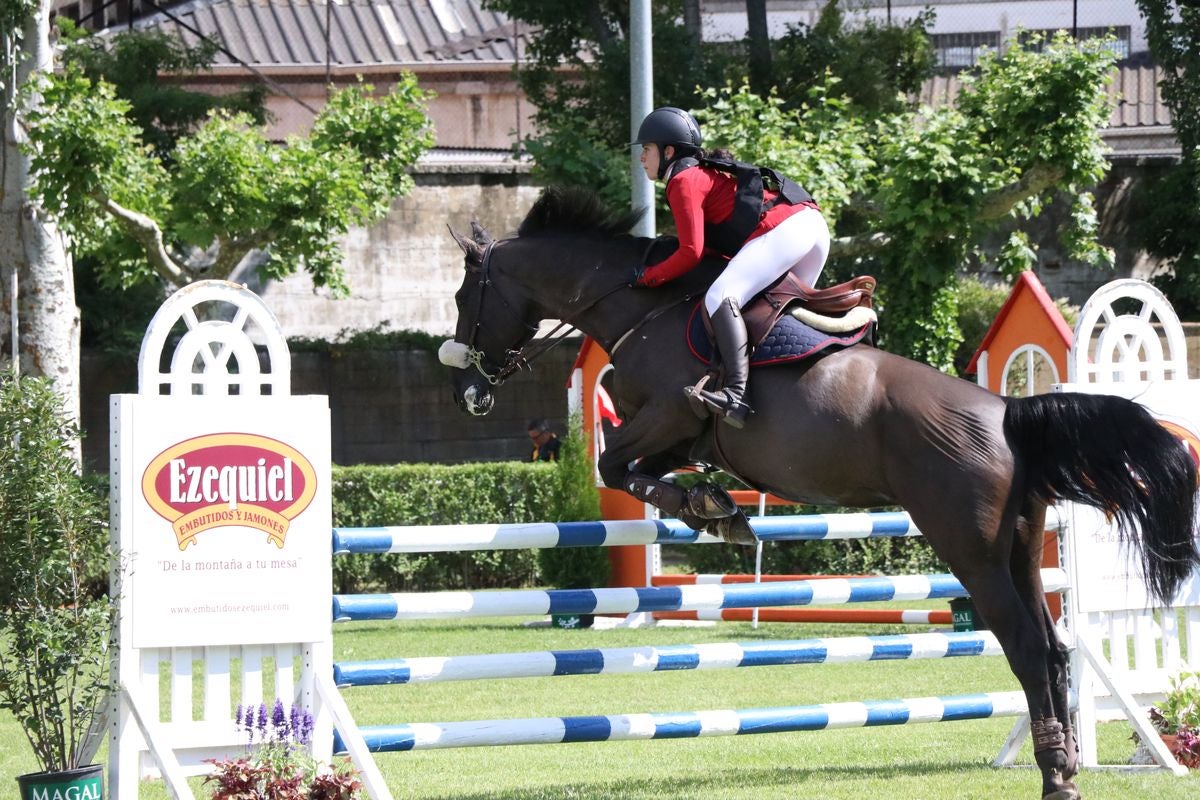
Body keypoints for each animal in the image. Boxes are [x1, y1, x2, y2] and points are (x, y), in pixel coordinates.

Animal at [444, 185, 1200, 800]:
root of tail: (1009, 412)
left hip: (970, 548)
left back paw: (1057, 779)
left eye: (461, 299)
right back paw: (1062, 764)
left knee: (1024, 644)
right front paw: (716, 509)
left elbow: (612, 465)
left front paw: (707, 509)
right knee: (1052, 644)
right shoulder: (678, 439)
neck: (637, 309)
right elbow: (632, 470)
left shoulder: (669, 414)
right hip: (1017, 545)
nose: (470, 393)